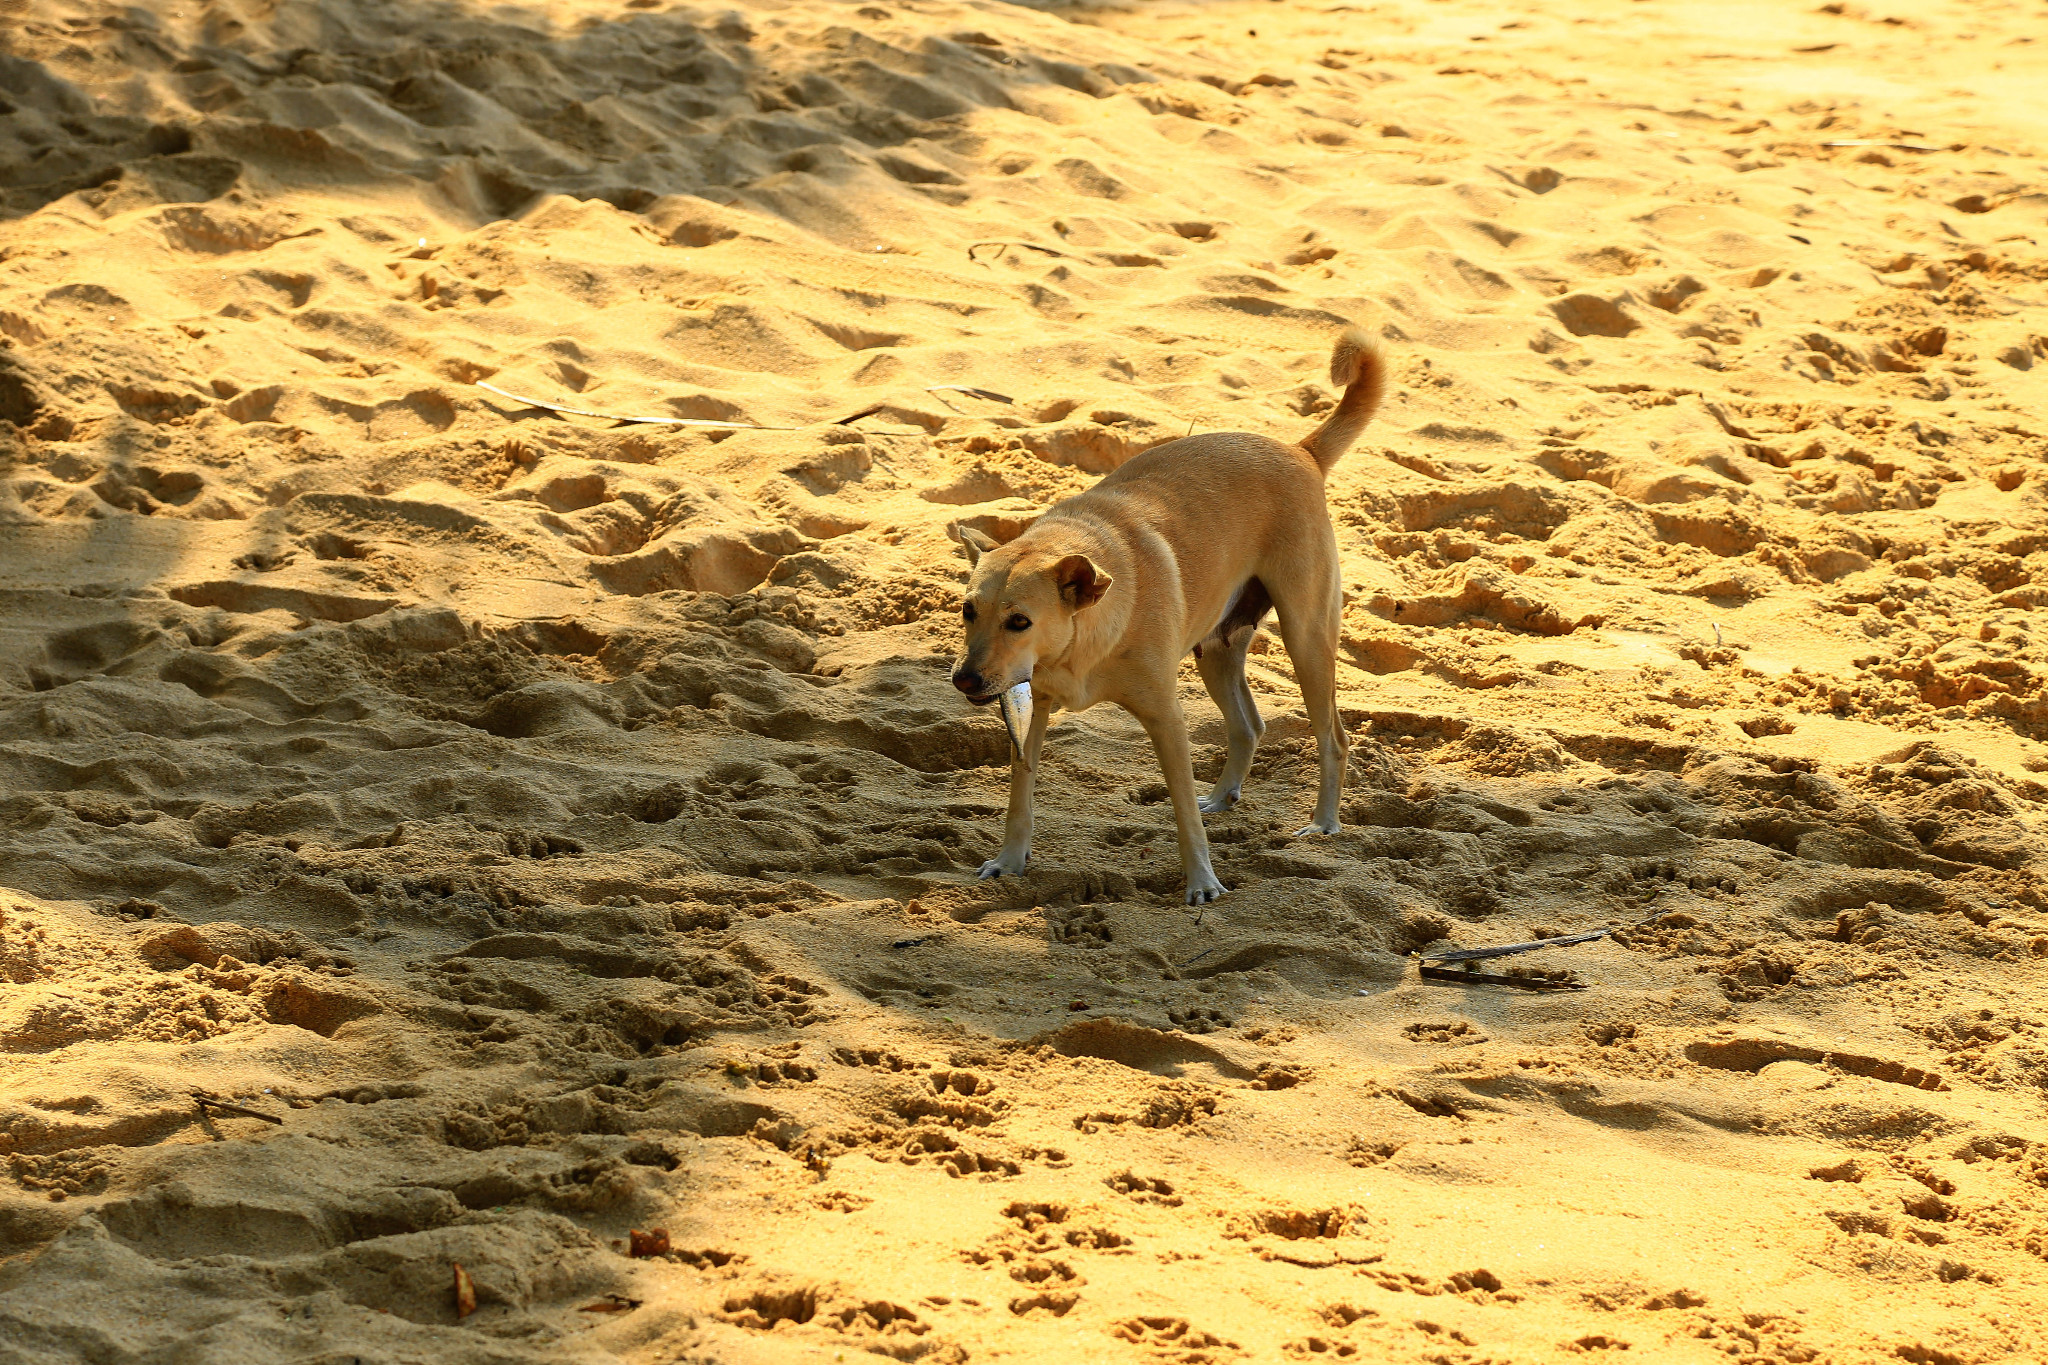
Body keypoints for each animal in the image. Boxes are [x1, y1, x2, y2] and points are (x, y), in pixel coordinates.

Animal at [950, 327, 1384, 908]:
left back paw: (1322, 824)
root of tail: (1299, 450)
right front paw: (1008, 862)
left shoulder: (1167, 718)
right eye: (968, 610)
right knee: (1249, 725)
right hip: (1217, 650)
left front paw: (1203, 884)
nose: (964, 679)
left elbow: (1182, 815)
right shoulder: (1031, 709)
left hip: (1307, 638)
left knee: (1333, 738)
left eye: (1019, 622)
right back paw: (1223, 797)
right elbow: (1020, 797)